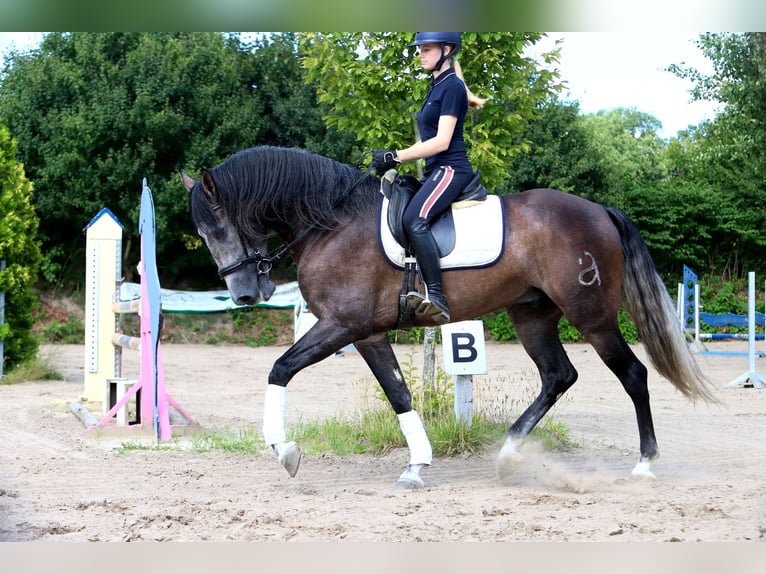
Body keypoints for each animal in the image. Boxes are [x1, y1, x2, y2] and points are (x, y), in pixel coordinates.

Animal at [181, 145, 716, 489]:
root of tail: (599, 210)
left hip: (593, 317)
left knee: (632, 373)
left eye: (220, 227)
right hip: (532, 315)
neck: (332, 223)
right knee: (558, 376)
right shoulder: (366, 333)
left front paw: (284, 450)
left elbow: (280, 369)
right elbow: (398, 393)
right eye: (203, 234)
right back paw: (508, 455)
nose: (244, 295)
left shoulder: (341, 326)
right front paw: (417, 466)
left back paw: (644, 464)